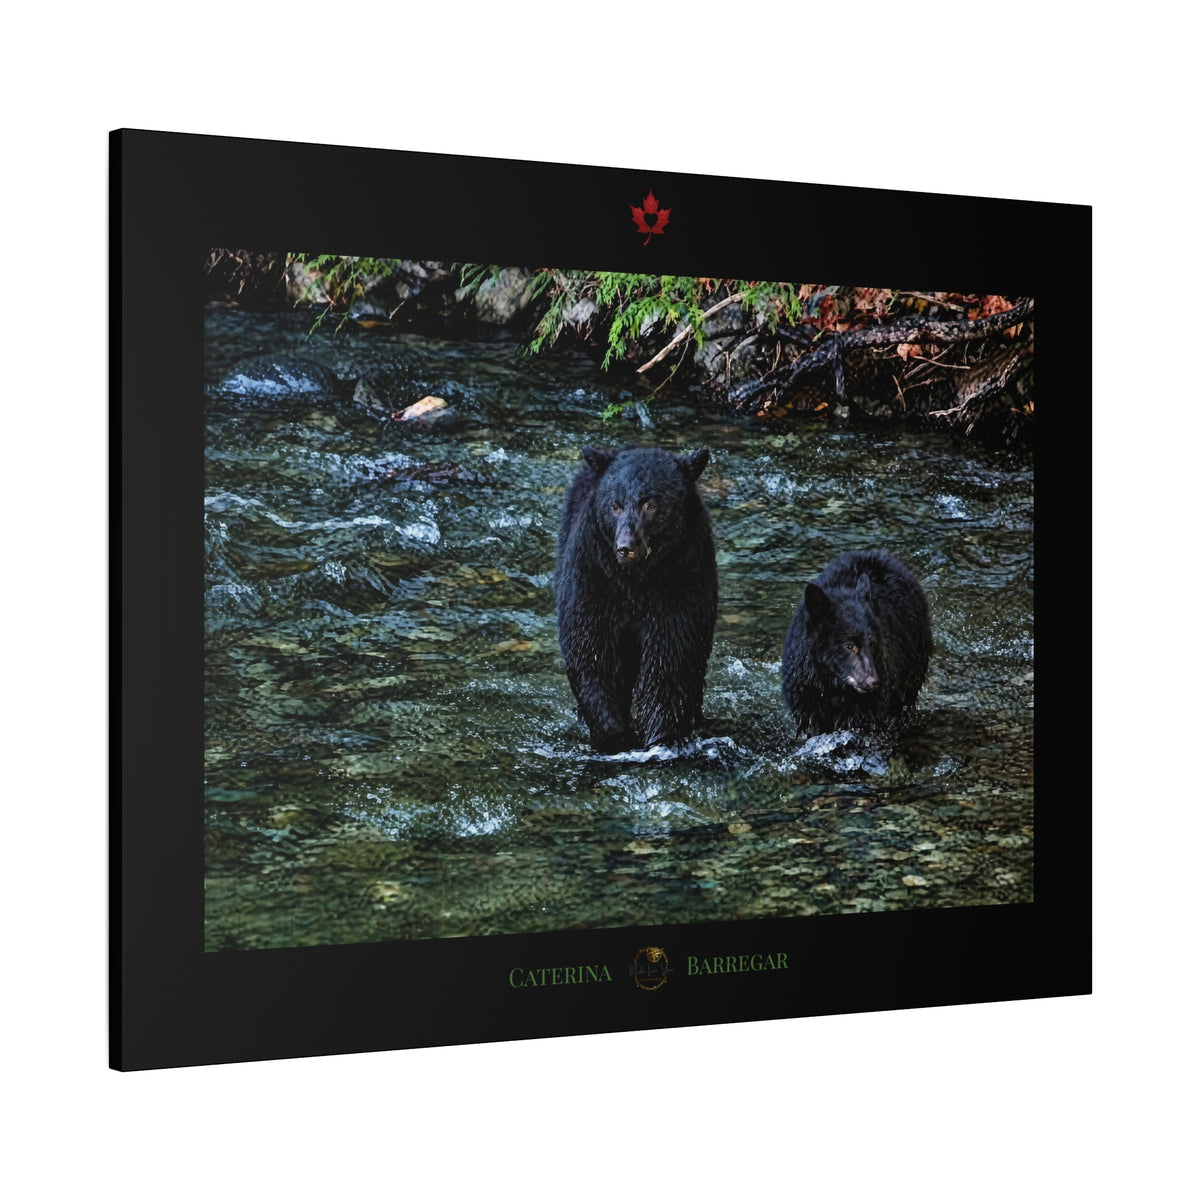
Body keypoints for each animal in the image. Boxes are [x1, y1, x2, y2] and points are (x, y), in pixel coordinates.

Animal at [554, 445, 718, 752]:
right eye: (615, 505)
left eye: (650, 504)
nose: (625, 547)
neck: (634, 583)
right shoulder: (593, 579)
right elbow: (592, 653)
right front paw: (614, 736)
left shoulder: (680, 586)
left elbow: (670, 662)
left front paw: (659, 738)